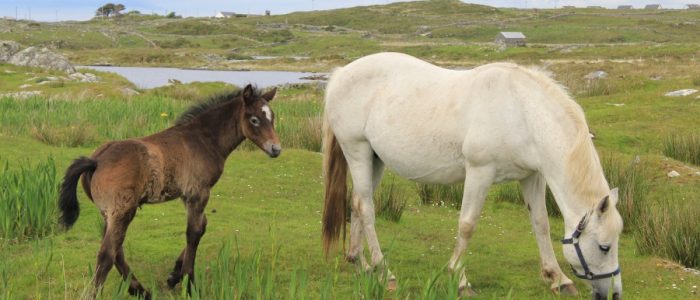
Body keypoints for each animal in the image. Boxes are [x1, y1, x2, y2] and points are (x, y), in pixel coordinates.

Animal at [57, 84, 280, 298]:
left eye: (273, 117)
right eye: (254, 119)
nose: (276, 149)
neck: (202, 140)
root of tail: (96, 161)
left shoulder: (186, 195)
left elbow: (202, 226)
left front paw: (174, 275)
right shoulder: (199, 192)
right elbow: (194, 232)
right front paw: (190, 284)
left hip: (108, 213)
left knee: (116, 250)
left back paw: (140, 290)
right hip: (123, 211)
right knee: (107, 253)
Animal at [322, 52, 624, 298]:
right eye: (604, 247)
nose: (614, 293)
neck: (522, 112)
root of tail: (340, 74)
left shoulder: (531, 177)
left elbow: (540, 224)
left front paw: (558, 279)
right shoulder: (480, 173)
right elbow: (467, 225)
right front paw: (460, 279)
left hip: (375, 159)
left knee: (358, 202)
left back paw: (361, 263)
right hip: (357, 150)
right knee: (366, 207)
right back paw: (384, 271)